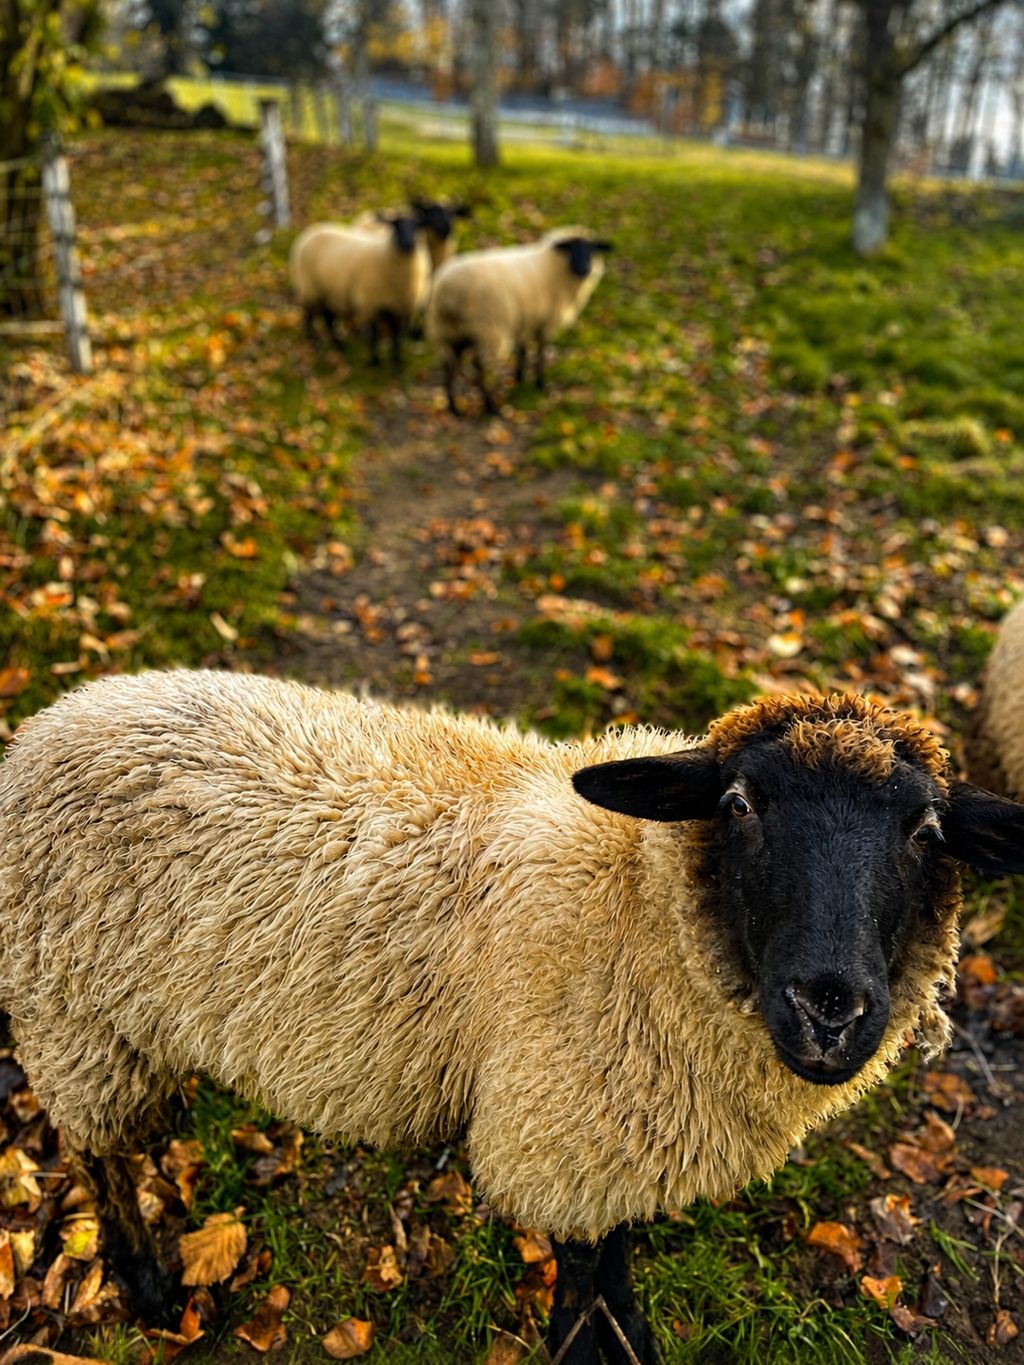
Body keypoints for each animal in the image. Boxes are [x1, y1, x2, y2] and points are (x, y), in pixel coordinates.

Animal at [3, 675, 1023, 1364]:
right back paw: (144, 1282)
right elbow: (579, 1280)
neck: (636, 905)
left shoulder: (615, 1139)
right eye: (738, 803)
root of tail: (59, 714)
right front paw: (590, 1341)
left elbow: (616, 1259)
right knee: (95, 1151)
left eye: (927, 831)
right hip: (72, 1013)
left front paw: (633, 1333)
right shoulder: (562, 1136)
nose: (828, 1009)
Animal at [289, 214, 429, 368]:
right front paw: (375, 361)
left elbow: (397, 338)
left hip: (328, 292)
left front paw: (397, 361)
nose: (408, 246)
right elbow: (374, 336)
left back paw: (338, 344)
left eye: (417, 226)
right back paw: (315, 342)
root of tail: (308, 233)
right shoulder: (370, 304)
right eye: (395, 225)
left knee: (328, 318)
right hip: (309, 287)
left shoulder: (401, 307)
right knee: (308, 317)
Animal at [425, 226, 613, 415]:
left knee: (448, 365)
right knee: (480, 367)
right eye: (570, 249)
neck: (552, 264)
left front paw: (520, 379)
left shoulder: (524, 320)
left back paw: (453, 406)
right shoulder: (544, 322)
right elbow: (540, 352)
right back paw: (490, 406)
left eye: (592, 249)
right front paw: (540, 383)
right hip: (487, 329)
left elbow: (522, 351)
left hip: (449, 331)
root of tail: (447, 291)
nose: (584, 270)